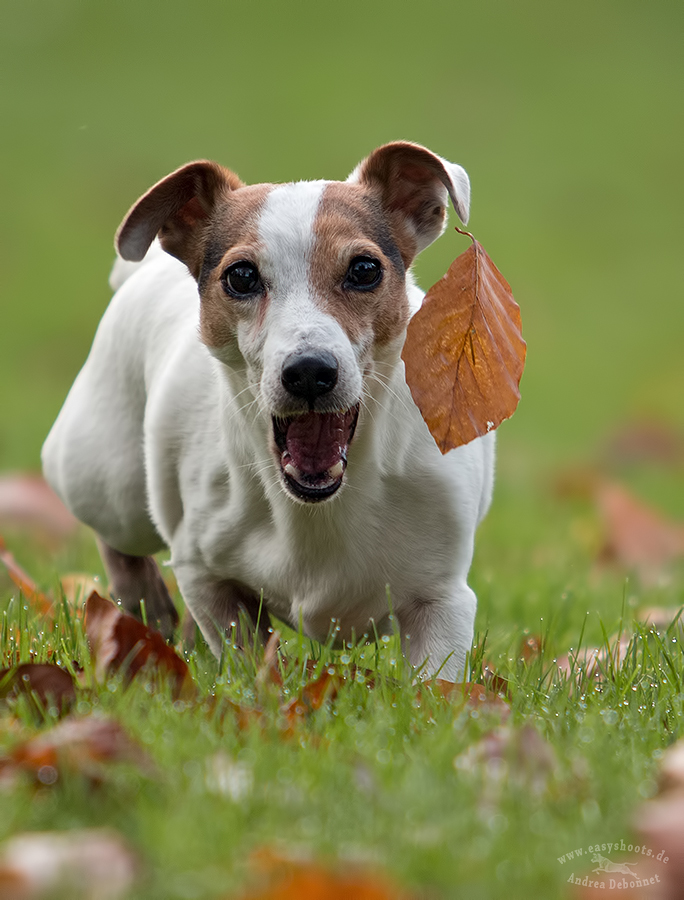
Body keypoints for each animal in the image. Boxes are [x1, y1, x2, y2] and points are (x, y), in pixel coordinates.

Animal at [41, 141, 492, 680]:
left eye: (365, 270)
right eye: (241, 276)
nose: (310, 371)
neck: (316, 511)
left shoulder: (441, 601)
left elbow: (435, 680)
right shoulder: (206, 577)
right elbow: (242, 653)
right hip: (110, 486)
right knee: (119, 538)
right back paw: (141, 606)